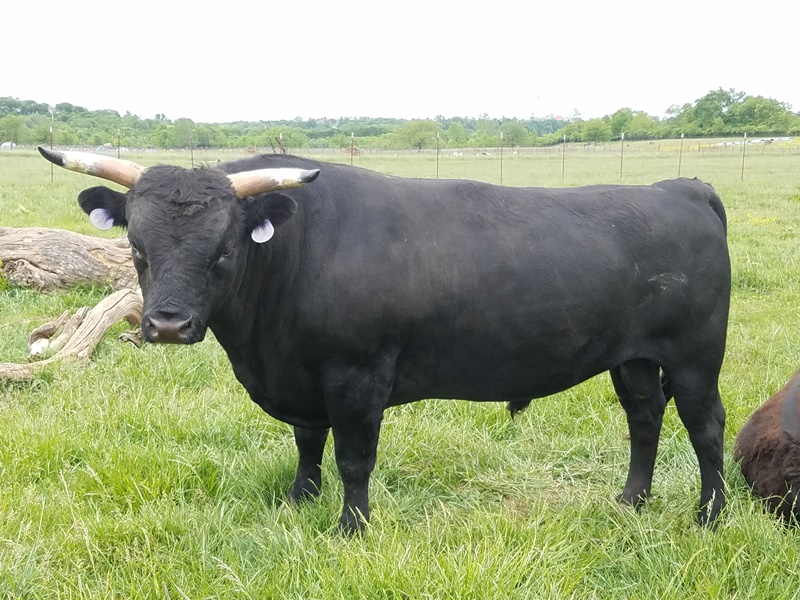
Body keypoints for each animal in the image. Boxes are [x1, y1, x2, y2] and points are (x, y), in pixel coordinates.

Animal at [38, 146, 731, 533]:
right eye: (137, 245)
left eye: (224, 249)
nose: (168, 326)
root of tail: (681, 188)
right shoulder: (302, 376)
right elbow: (308, 443)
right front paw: (300, 500)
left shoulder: (356, 375)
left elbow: (353, 457)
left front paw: (352, 526)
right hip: (634, 359)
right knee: (644, 418)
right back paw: (631, 502)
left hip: (695, 357)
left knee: (704, 426)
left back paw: (709, 516)